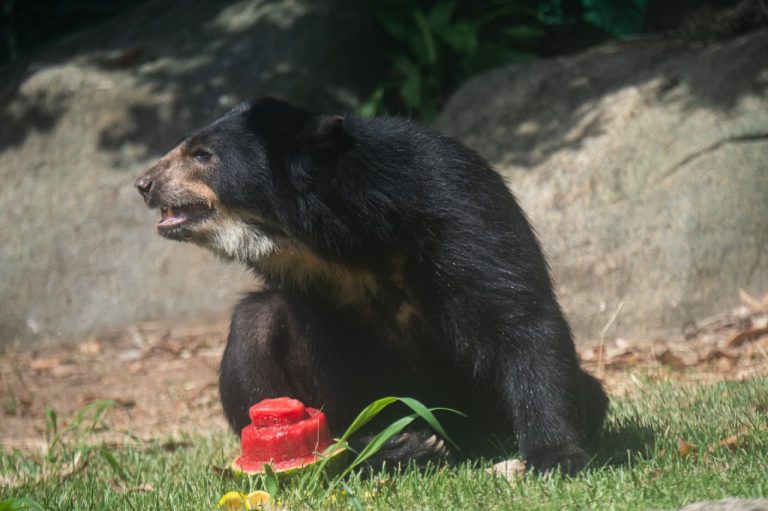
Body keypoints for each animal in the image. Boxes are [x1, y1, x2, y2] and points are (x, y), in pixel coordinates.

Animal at [136, 97, 608, 476]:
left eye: (202, 154)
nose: (143, 184)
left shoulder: (457, 203)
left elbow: (516, 311)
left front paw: (554, 458)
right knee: (258, 323)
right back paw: (399, 445)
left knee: (593, 394)